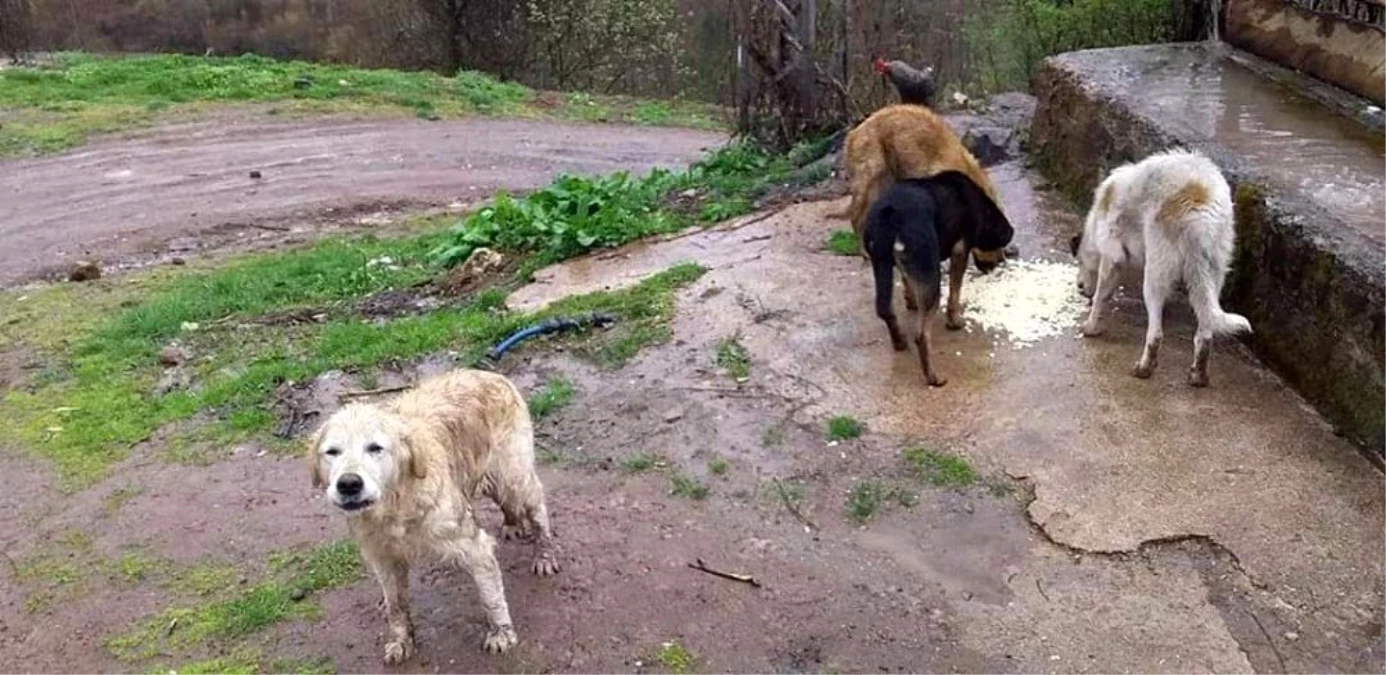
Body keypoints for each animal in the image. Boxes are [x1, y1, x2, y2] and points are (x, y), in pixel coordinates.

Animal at [309, 365, 557, 662]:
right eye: (332, 452)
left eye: (375, 448)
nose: (348, 484)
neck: (397, 504)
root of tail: (490, 373)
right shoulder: (383, 557)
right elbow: (396, 606)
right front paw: (402, 641)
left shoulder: (474, 546)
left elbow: (491, 597)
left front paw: (501, 634)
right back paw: (512, 524)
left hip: (512, 475)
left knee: (536, 506)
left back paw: (544, 554)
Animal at [864, 171, 1020, 388]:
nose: (999, 263)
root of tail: (889, 215)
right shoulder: (960, 250)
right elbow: (955, 292)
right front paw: (954, 321)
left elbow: (907, 280)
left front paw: (911, 301)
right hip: (930, 272)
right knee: (921, 336)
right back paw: (933, 378)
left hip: (881, 263)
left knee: (884, 309)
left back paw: (899, 341)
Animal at [1069, 149, 1258, 388]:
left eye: (1079, 261)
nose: (1079, 286)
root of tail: (1199, 213)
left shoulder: (1111, 256)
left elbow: (1100, 297)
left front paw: (1091, 326)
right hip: (1213, 271)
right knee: (1205, 331)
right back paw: (1198, 375)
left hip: (1155, 272)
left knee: (1156, 333)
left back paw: (1145, 367)